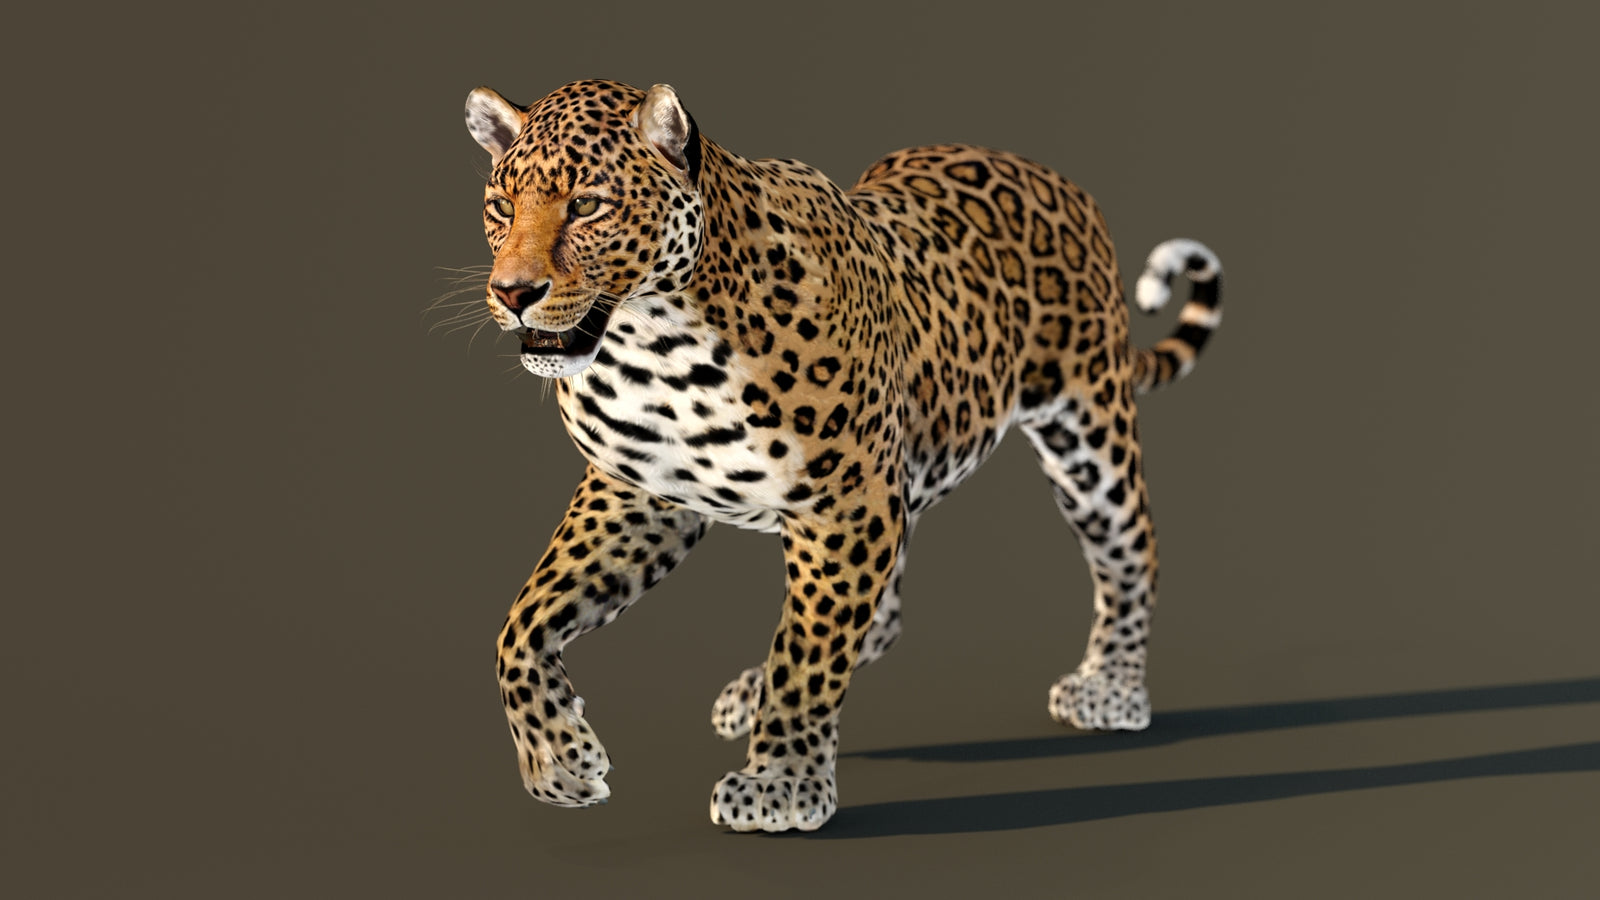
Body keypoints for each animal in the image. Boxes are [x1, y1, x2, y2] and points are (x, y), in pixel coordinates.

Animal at [460, 78, 1223, 833]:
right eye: (501, 208)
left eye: (588, 205)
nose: (513, 293)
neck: (654, 345)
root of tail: (1055, 176)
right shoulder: (639, 491)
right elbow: (523, 620)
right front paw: (559, 763)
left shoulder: (845, 504)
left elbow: (807, 655)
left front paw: (780, 783)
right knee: (879, 612)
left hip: (1087, 430)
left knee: (1132, 551)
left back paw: (1112, 688)